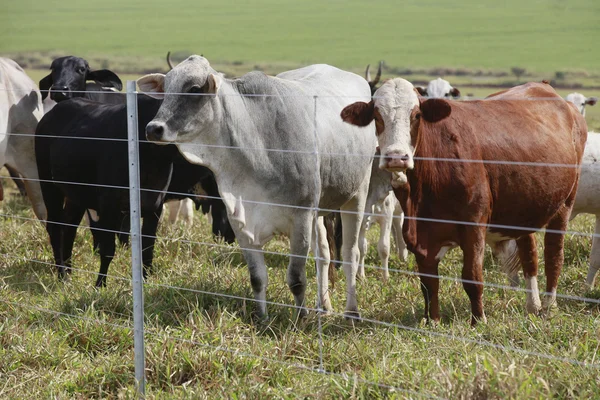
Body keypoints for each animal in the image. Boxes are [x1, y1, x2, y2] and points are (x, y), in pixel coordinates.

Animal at [138, 55, 378, 318]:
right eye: (166, 87)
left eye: (194, 89)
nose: (153, 128)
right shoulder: (241, 220)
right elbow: (257, 277)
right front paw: (261, 317)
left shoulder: (301, 217)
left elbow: (296, 278)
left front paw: (300, 317)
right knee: (324, 255)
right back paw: (323, 306)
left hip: (356, 195)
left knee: (350, 254)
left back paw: (351, 312)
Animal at [342, 78, 584, 324]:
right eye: (377, 116)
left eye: (416, 115)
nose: (396, 157)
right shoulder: (419, 235)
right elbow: (428, 282)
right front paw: (433, 320)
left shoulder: (473, 227)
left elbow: (472, 276)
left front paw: (478, 320)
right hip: (524, 207)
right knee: (530, 254)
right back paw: (533, 306)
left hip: (564, 204)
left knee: (554, 254)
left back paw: (548, 306)